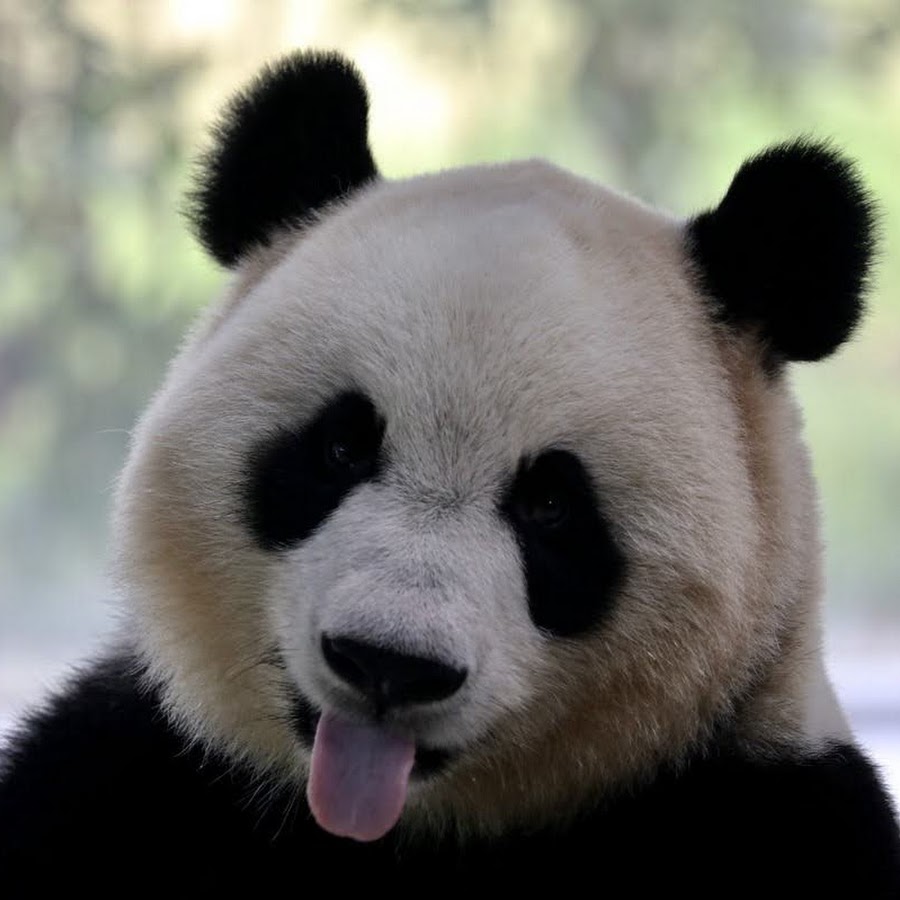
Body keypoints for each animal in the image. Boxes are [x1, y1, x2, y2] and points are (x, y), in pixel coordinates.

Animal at [1, 50, 899, 893]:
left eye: (550, 505)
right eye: (340, 449)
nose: (389, 664)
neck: (399, 827)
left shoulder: (776, 800)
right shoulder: (132, 767)